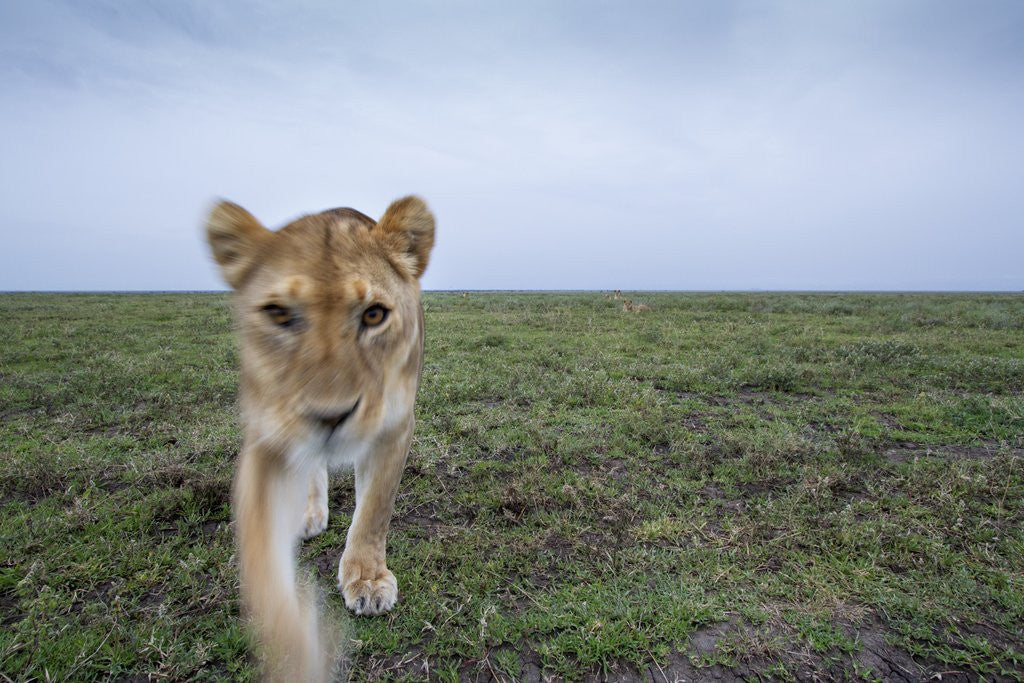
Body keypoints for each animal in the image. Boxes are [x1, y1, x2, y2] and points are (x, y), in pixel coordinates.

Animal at [205, 196, 435, 681]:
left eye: (373, 314)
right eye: (278, 313)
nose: (330, 416)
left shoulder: (394, 425)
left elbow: (373, 511)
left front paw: (367, 580)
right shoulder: (266, 436)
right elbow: (259, 555)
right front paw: (297, 649)